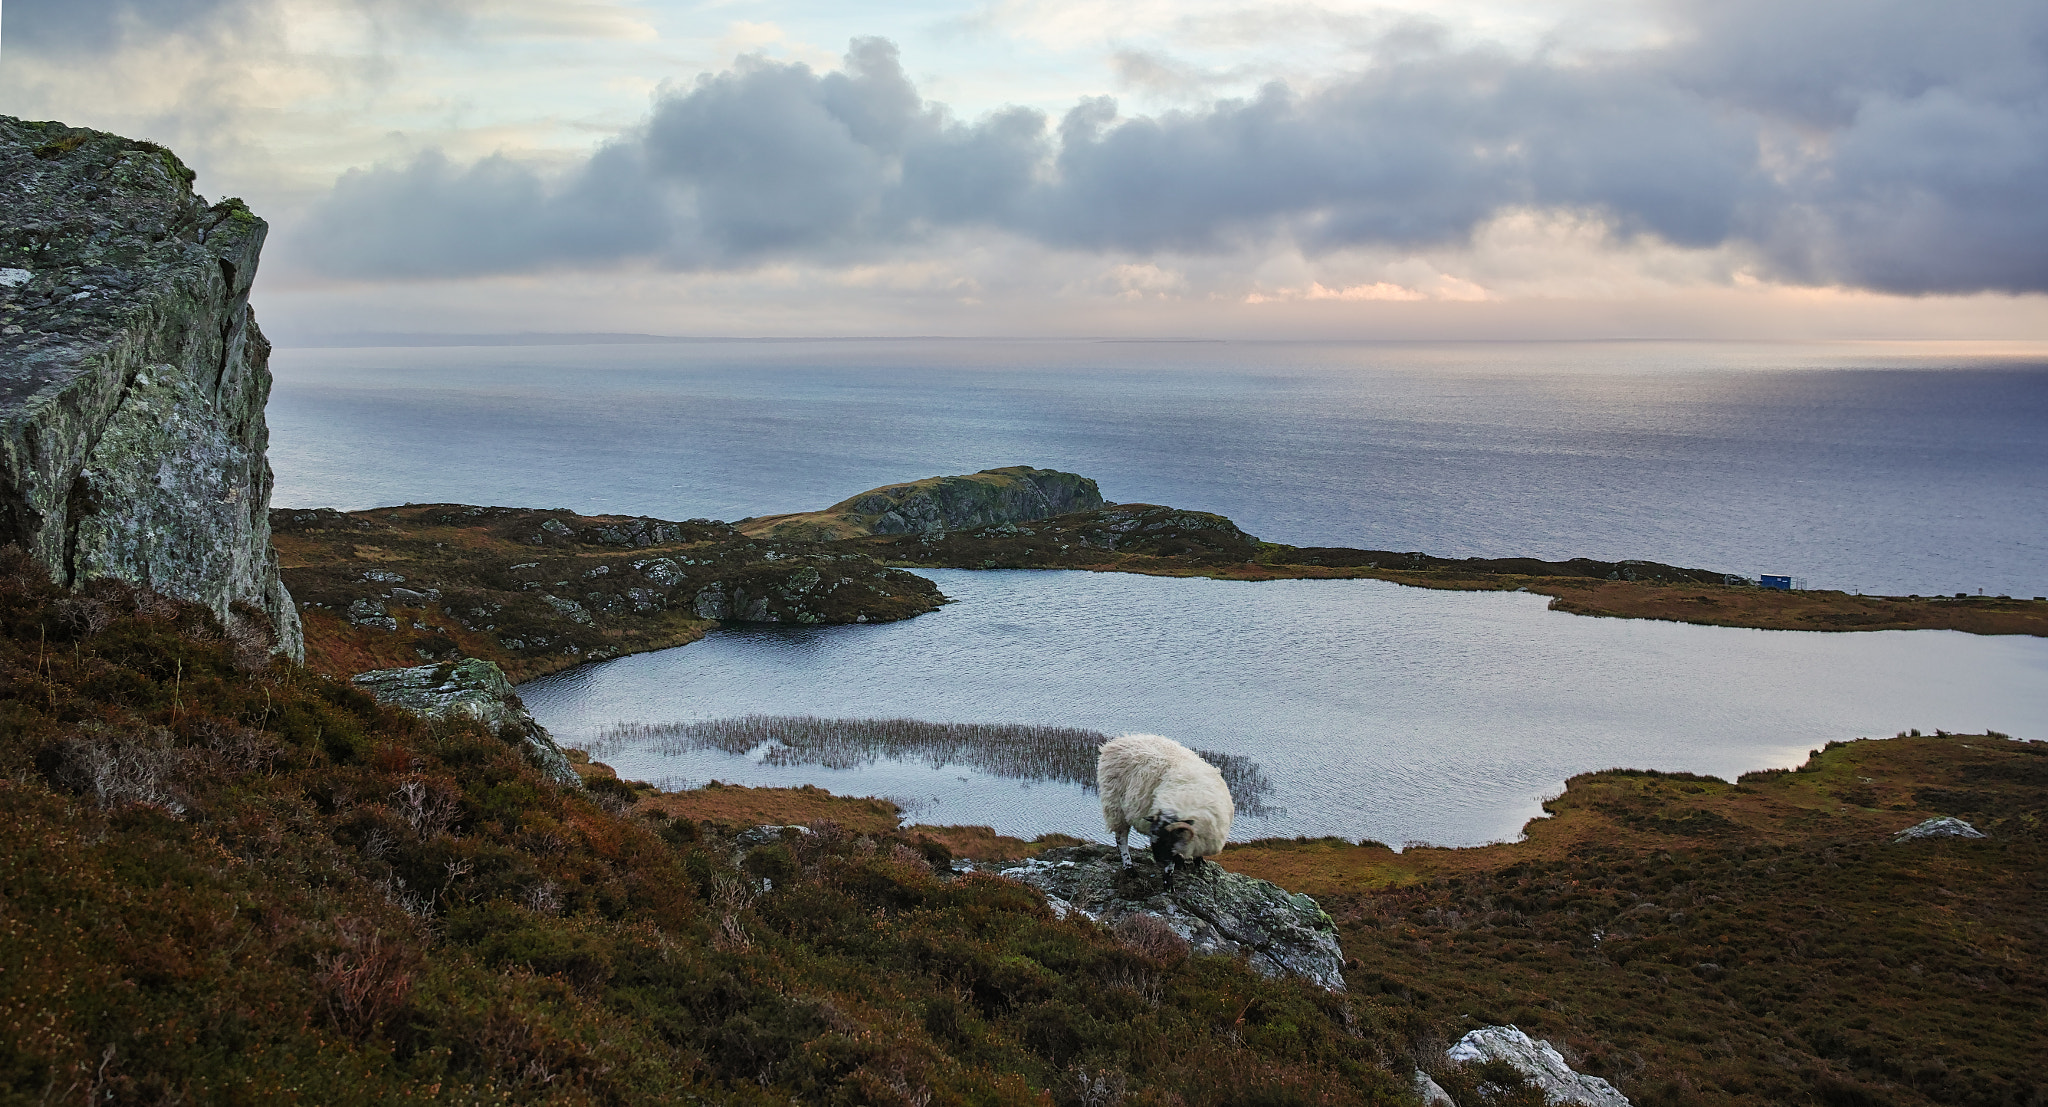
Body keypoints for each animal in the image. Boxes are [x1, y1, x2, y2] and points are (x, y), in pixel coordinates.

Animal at [1097, 732, 1236, 879]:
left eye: (1168, 839)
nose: (1158, 860)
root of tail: (1115, 742)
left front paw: (1198, 863)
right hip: (1115, 805)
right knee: (1121, 838)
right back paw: (1129, 868)